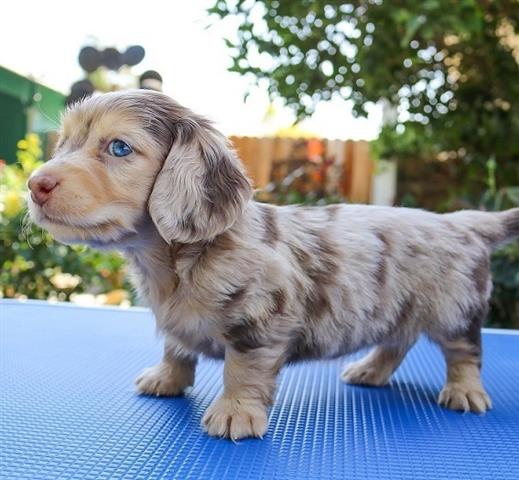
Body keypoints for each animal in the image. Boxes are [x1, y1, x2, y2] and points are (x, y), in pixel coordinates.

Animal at [29, 89, 519, 438]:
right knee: (397, 342)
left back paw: (465, 391)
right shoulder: (177, 324)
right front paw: (166, 379)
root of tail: (461, 222)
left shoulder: (259, 323)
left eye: (118, 148)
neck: (172, 262)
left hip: (456, 311)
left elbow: (243, 371)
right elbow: (176, 349)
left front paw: (235, 413)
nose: (35, 184)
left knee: (465, 352)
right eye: (64, 143)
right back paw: (369, 371)